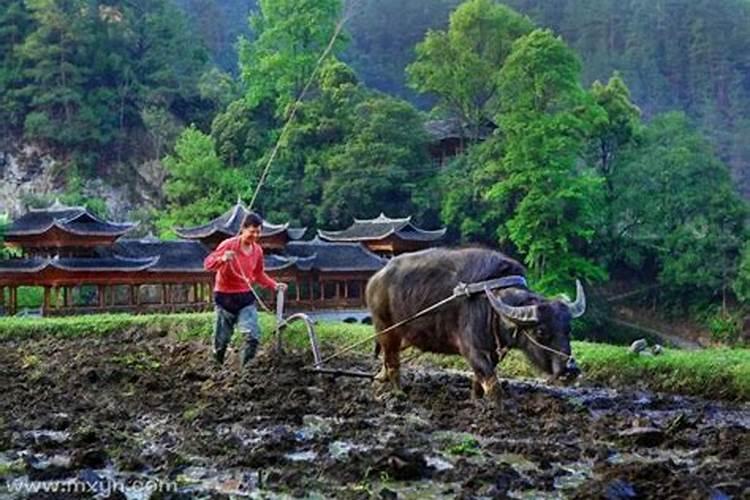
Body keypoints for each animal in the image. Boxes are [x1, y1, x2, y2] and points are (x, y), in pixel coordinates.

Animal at [366, 248, 588, 404]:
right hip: (385, 328)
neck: (492, 307)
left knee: (387, 358)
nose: (570, 369)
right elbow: (492, 382)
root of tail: (375, 279)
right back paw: (398, 393)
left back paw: (380, 379)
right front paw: (495, 408)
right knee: (392, 361)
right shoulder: (472, 349)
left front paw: (476, 401)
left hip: (404, 336)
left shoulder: (493, 352)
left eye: (568, 330)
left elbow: (479, 379)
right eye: (541, 331)